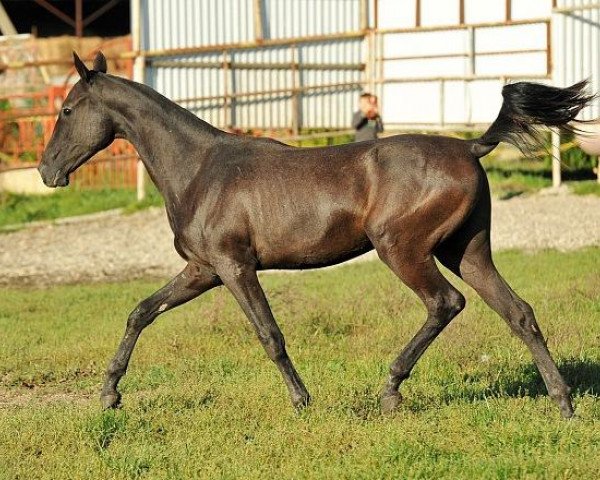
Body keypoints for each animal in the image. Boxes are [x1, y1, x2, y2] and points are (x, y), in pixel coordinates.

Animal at [38, 52, 596, 418]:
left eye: (66, 110)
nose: (47, 171)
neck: (198, 169)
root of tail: (471, 147)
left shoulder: (234, 267)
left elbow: (270, 334)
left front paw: (302, 401)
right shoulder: (202, 270)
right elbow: (141, 311)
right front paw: (109, 395)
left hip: (403, 250)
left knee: (445, 303)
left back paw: (390, 391)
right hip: (468, 251)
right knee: (519, 313)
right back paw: (563, 403)